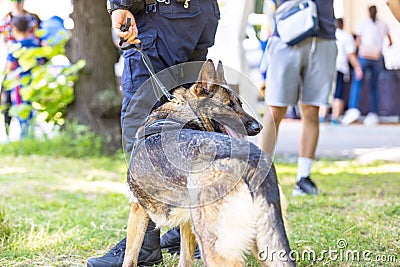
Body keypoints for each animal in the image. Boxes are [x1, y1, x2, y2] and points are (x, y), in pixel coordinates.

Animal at [123, 60, 296, 267]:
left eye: (240, 104)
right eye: (230, 105)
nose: (258, 127)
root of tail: (252, 161)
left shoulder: (137, 208)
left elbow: (130, 255)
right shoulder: (187, 222)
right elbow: (185, 259)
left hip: (212, 242)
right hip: (264, 243)